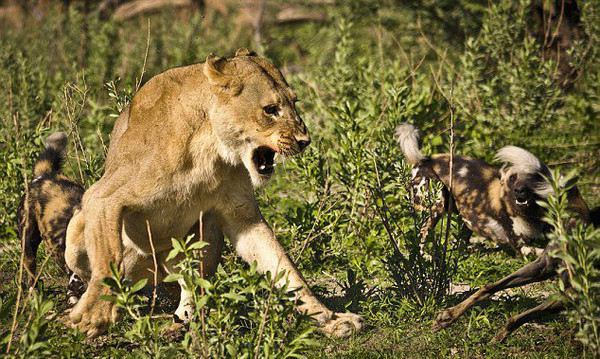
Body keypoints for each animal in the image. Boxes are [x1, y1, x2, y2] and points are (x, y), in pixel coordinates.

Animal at [394, 124, 592, 256]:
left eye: (533, 177)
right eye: (512, 178)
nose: (519, 190)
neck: (529, 215)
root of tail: (426, 160)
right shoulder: (520, 247)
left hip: (464, 219)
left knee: (460, 242)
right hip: (435, 208)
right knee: (422, 237)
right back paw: (425, 256)